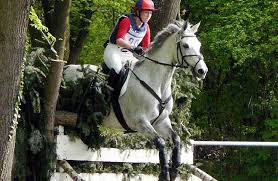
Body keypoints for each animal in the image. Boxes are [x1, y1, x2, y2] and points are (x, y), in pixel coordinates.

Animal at [63, 20, 206, 181]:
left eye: (199, 45)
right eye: (185, 45)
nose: (202, 71)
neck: (157, 83)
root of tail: (66, 68)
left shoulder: (161, 122)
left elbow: (176, 139)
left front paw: (175, 170)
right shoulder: (140, 122)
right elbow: (160, 143)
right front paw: (164, 174)